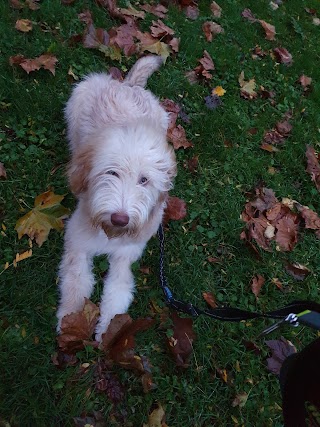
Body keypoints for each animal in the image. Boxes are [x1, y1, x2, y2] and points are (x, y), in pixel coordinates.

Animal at [57, 55, 178, 342]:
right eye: (111, 172)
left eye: (144, 180)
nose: (120, 219)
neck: (108, 234)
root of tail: (128, 86)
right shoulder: (78, 242)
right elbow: (76, 282)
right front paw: (70, 323)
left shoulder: (126, 255)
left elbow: (117, 292)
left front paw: (108, 332)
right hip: (82, 90)